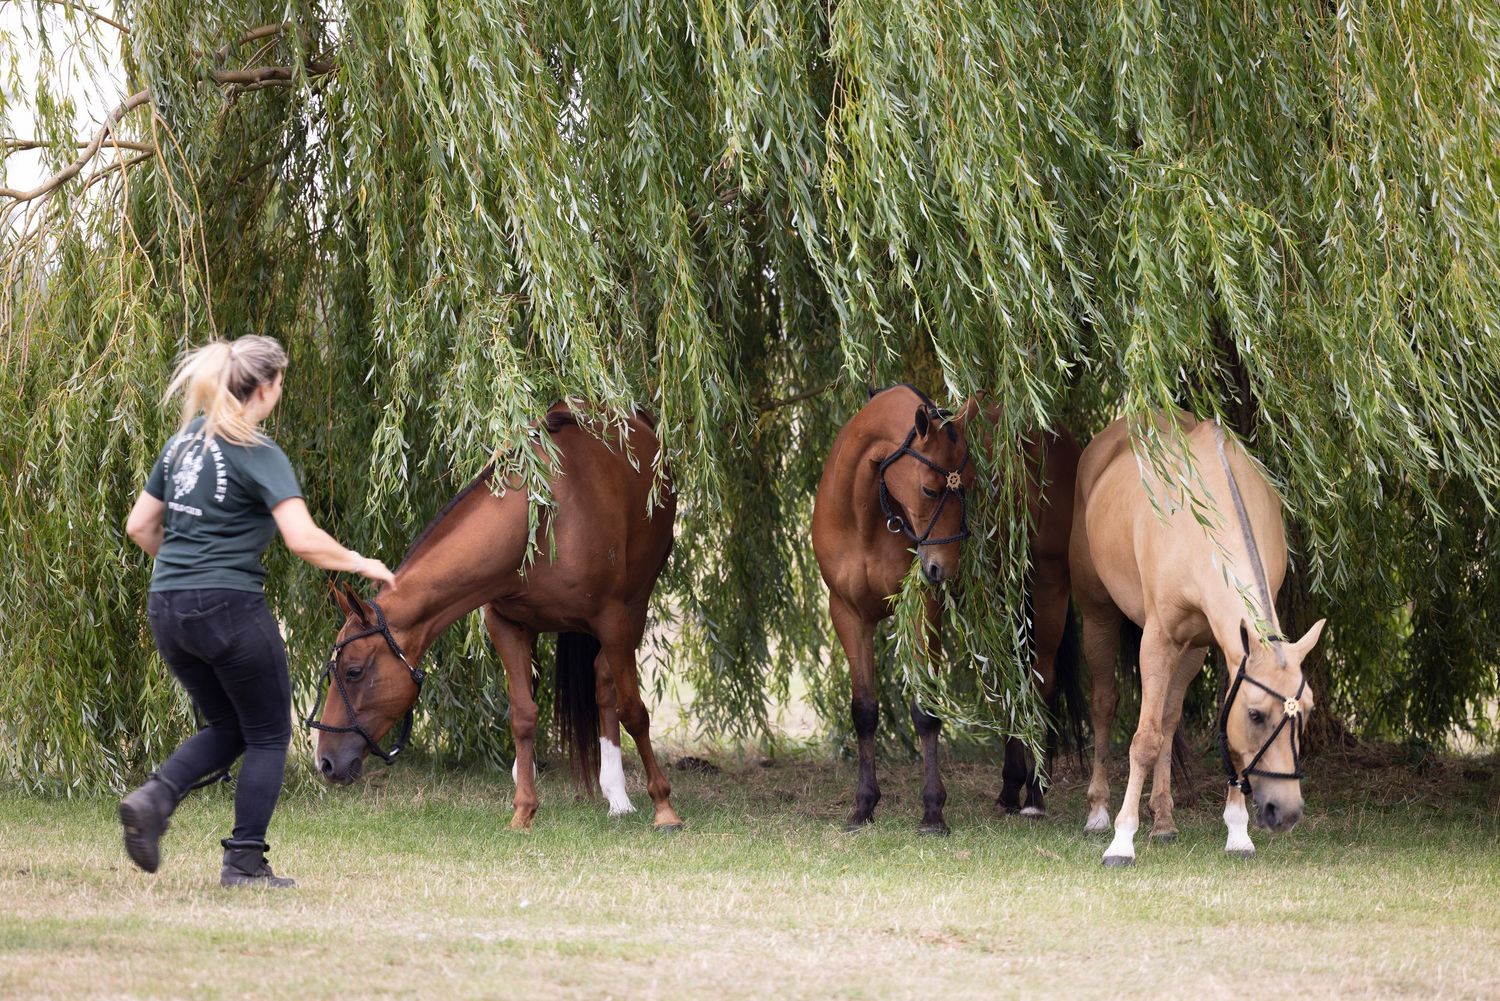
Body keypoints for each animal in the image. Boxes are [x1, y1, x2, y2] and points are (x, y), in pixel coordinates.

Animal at [310, 404, 682, 831]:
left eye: (353, 672)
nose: (325, 762)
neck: (543, 516)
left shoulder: (613, 622)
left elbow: (634, 711)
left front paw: (664, 807)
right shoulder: (505, 626)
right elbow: (522, 714)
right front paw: (523, 810)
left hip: (634, 609)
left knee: (606, 686)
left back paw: (618, 796)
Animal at [811, 384, 974, 834]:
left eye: (970, 486)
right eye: (931, 490)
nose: (942, 568)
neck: (864, 515)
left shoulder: (923, 609)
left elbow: (925, 709)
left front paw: (933, 811)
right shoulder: (847, 614)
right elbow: (864, 710)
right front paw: (863, 806)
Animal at [1069, 410, 1325, 866]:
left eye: (1308, 711)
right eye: (1257, 715)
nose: (1286, 811)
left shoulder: (1221, 644)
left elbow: (1196, 733)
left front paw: (1238, 833)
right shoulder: (1157, 640)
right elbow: (1144, 739)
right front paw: (1121, 841)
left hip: (1191, 649)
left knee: (1169, 718)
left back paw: (1164, 821)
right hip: (1098, 615)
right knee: (1104, 704)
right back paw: (1098, 812)